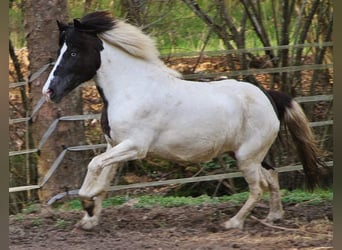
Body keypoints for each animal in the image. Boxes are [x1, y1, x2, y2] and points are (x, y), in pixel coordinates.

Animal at [41, 11, 324, 230]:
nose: (49, 91)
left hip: (247, 156)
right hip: (247, 154)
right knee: (272, 176)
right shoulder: (115, 145)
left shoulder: (135, 147)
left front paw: (87, 202)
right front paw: (89, 219)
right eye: (59, 50)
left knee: (258, 188)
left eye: (74, 52)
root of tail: (269, 96)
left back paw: (233, 223)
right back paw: (274, 216)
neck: (131, 89)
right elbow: (103, 178)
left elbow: (93, 167)